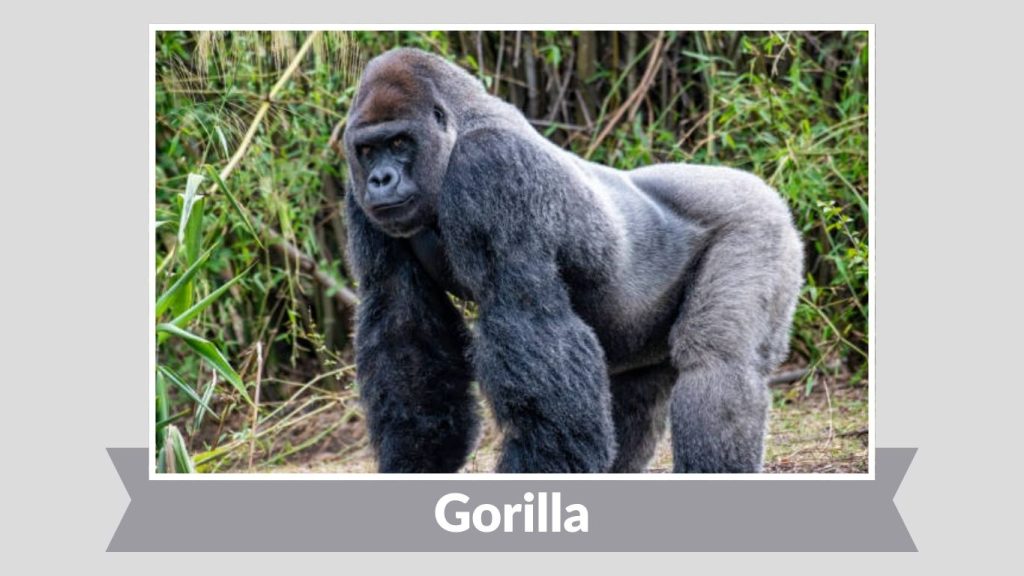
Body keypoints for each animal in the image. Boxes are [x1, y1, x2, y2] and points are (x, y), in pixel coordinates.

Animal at [341, 48, 803, 473]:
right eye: (367, 151)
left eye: (399, 142)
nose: (380, 179)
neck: (456, 130)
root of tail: (763, 188)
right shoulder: (358, 197)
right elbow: (404, 328)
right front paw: (416, 459)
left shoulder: (491, 167)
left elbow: (528, 320)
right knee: (635, 394)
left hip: (759, 224)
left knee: (718, 365)